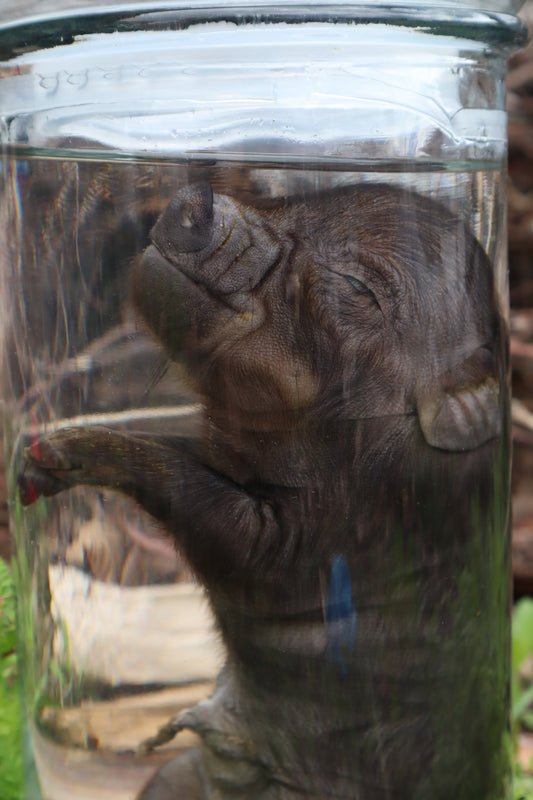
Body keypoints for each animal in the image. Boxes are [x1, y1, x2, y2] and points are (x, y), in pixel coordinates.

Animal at [18, 181, 509, 799]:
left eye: (357, 287)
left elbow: (214, 521)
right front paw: (31, 466)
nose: (196, 198)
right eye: (291, 201)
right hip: (179, 775)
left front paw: (55, 451)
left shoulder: (330, 537)